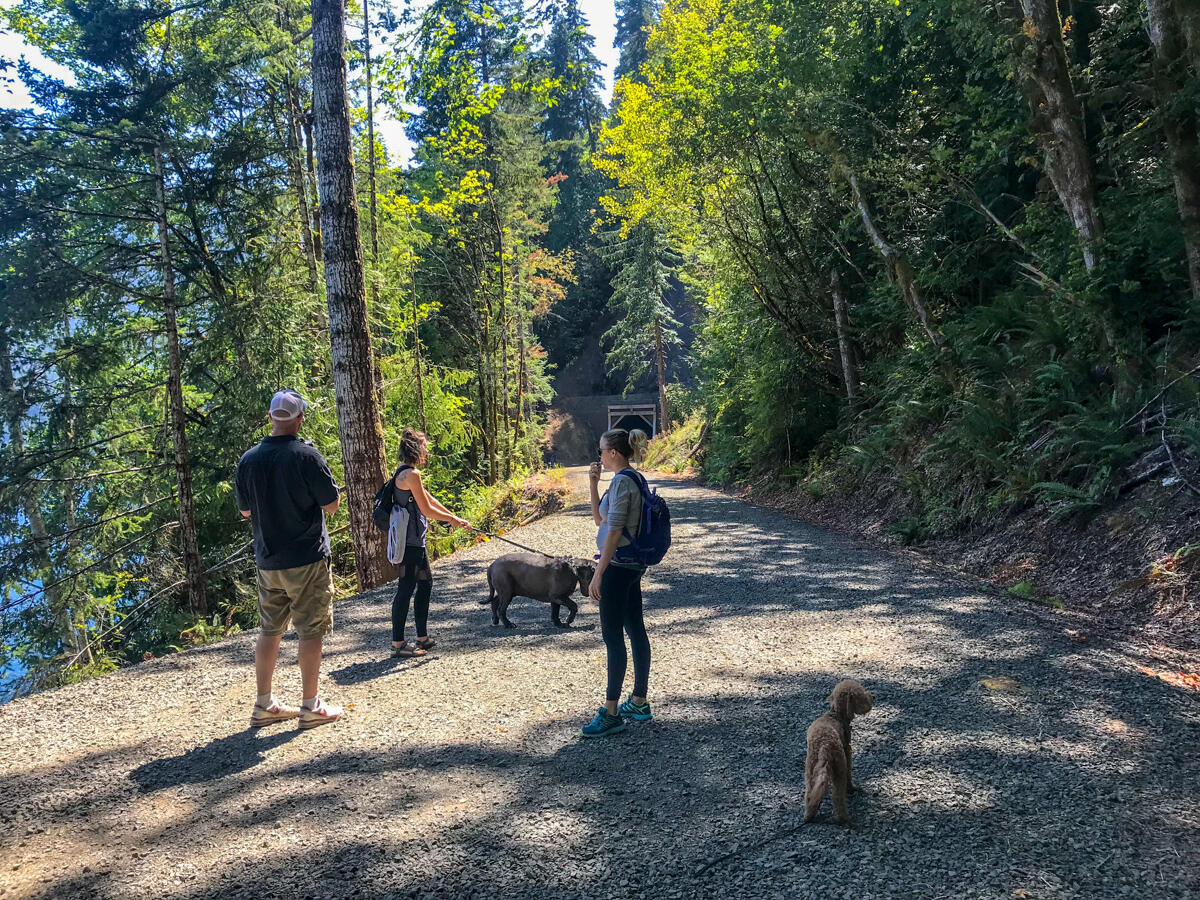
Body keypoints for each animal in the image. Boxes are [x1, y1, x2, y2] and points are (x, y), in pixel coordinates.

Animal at [806, 681, 873, 825]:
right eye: (862, 695)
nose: (873, 696)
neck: (837, 714)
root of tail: (824, 746)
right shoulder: (847, 750)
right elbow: (849, 772)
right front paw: (852, 788)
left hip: (810, 768)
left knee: (809, 793)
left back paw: (809, 815)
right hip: (838, 765)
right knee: (838, 795)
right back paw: (843, 819)